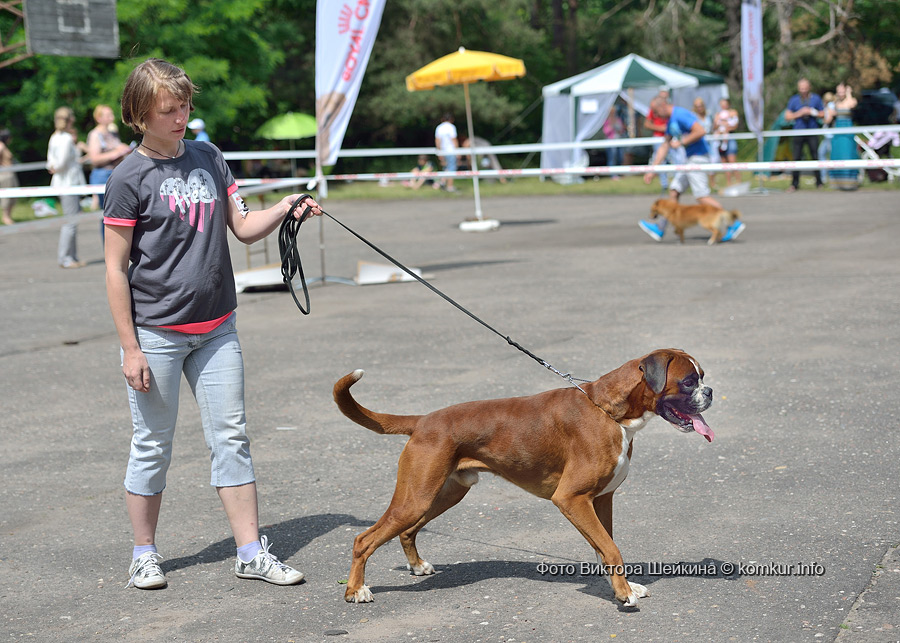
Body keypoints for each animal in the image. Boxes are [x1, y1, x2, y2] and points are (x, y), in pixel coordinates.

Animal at [333, 348, 714, 607]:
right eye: (688, 382)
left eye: (701, 378)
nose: (710, 392)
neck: (609, 412)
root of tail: (424, 420)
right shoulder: (572, 499)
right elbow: (611, 548)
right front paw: (623, 595)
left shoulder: (601, 500)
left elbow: (604, 546)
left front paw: (622, 587)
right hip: (416, 498)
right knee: (364, 539)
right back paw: (356, 590)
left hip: (441, 495)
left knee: (407, 530)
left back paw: (416, 566)